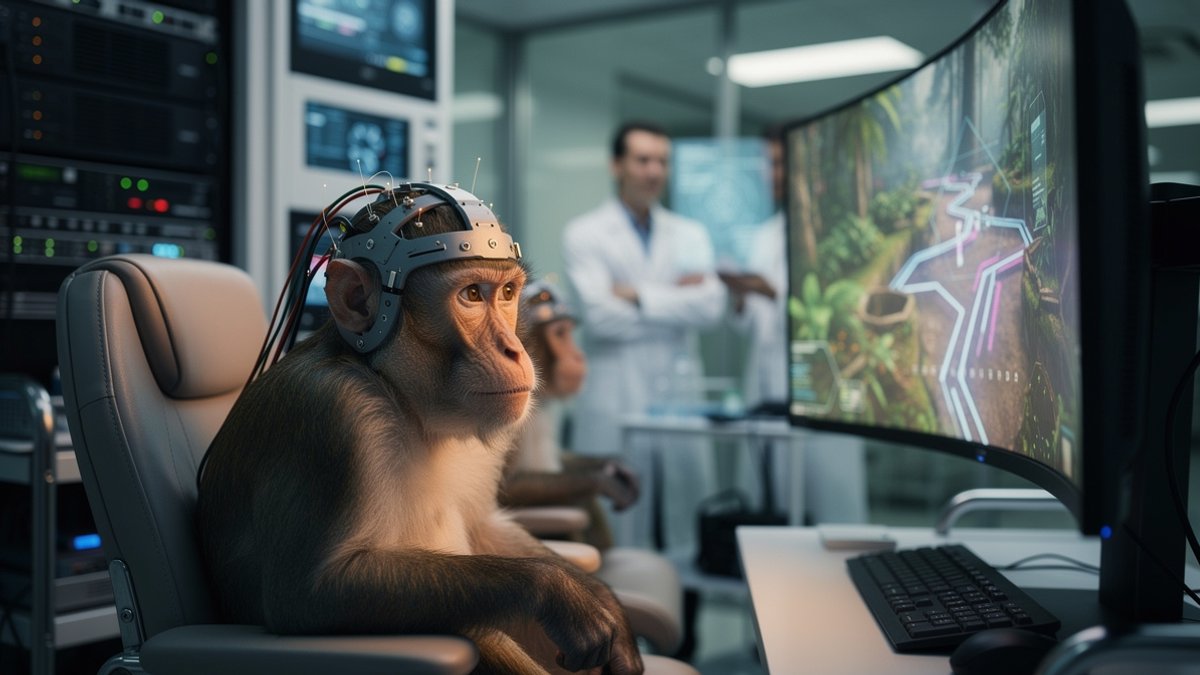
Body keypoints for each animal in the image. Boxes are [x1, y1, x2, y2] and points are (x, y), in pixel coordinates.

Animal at [196, 187, 643, 675]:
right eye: (471, 294)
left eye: (507, 293)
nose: (514, 349)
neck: (406, 402)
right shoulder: (330, 414)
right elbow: (308, 594)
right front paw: (554, 591)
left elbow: (483, 524)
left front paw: (605, 601)